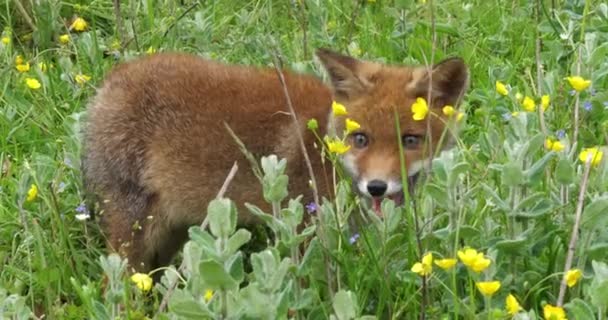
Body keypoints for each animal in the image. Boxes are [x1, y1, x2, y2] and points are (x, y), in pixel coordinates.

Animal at [83, 48, 468, 272]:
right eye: (360, 139)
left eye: (410, 141)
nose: (376, 187)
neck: (324, 145)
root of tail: (114, 78)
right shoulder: (304, 229)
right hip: (136, 230)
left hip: (170, 231)